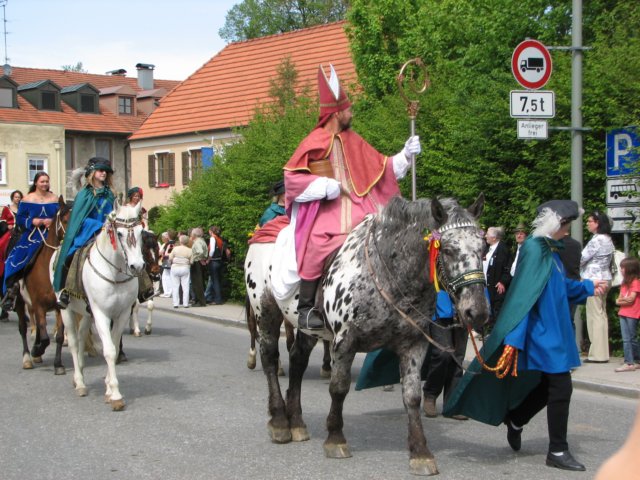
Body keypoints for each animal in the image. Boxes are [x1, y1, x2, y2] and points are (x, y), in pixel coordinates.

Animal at [56, 202, 145, 408]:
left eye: (140, 231)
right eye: (119, 233)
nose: (137, 266)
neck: (115, 274)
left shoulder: (121, 314)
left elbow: (114, 345)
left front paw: (108, 389)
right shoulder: (101, 313)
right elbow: (110, 351)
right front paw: (116, 395)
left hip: (87, 314)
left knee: (82, 336)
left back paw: (79, 374)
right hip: (67, 310)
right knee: (74, 342)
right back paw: (80, 382)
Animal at [245, 196, 490, 476]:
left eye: (483, 249)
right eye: (448, 250)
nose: (477, 312)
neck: (388, 273)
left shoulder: (413, 345)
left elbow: (412, 396)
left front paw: (420, 452)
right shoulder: (344, 341)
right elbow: (339, 388)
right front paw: (335, 439)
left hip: (307, 327)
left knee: (297, 360)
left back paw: (296, 422)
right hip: (266, 312)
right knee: (270, 359)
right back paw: (278, 422)